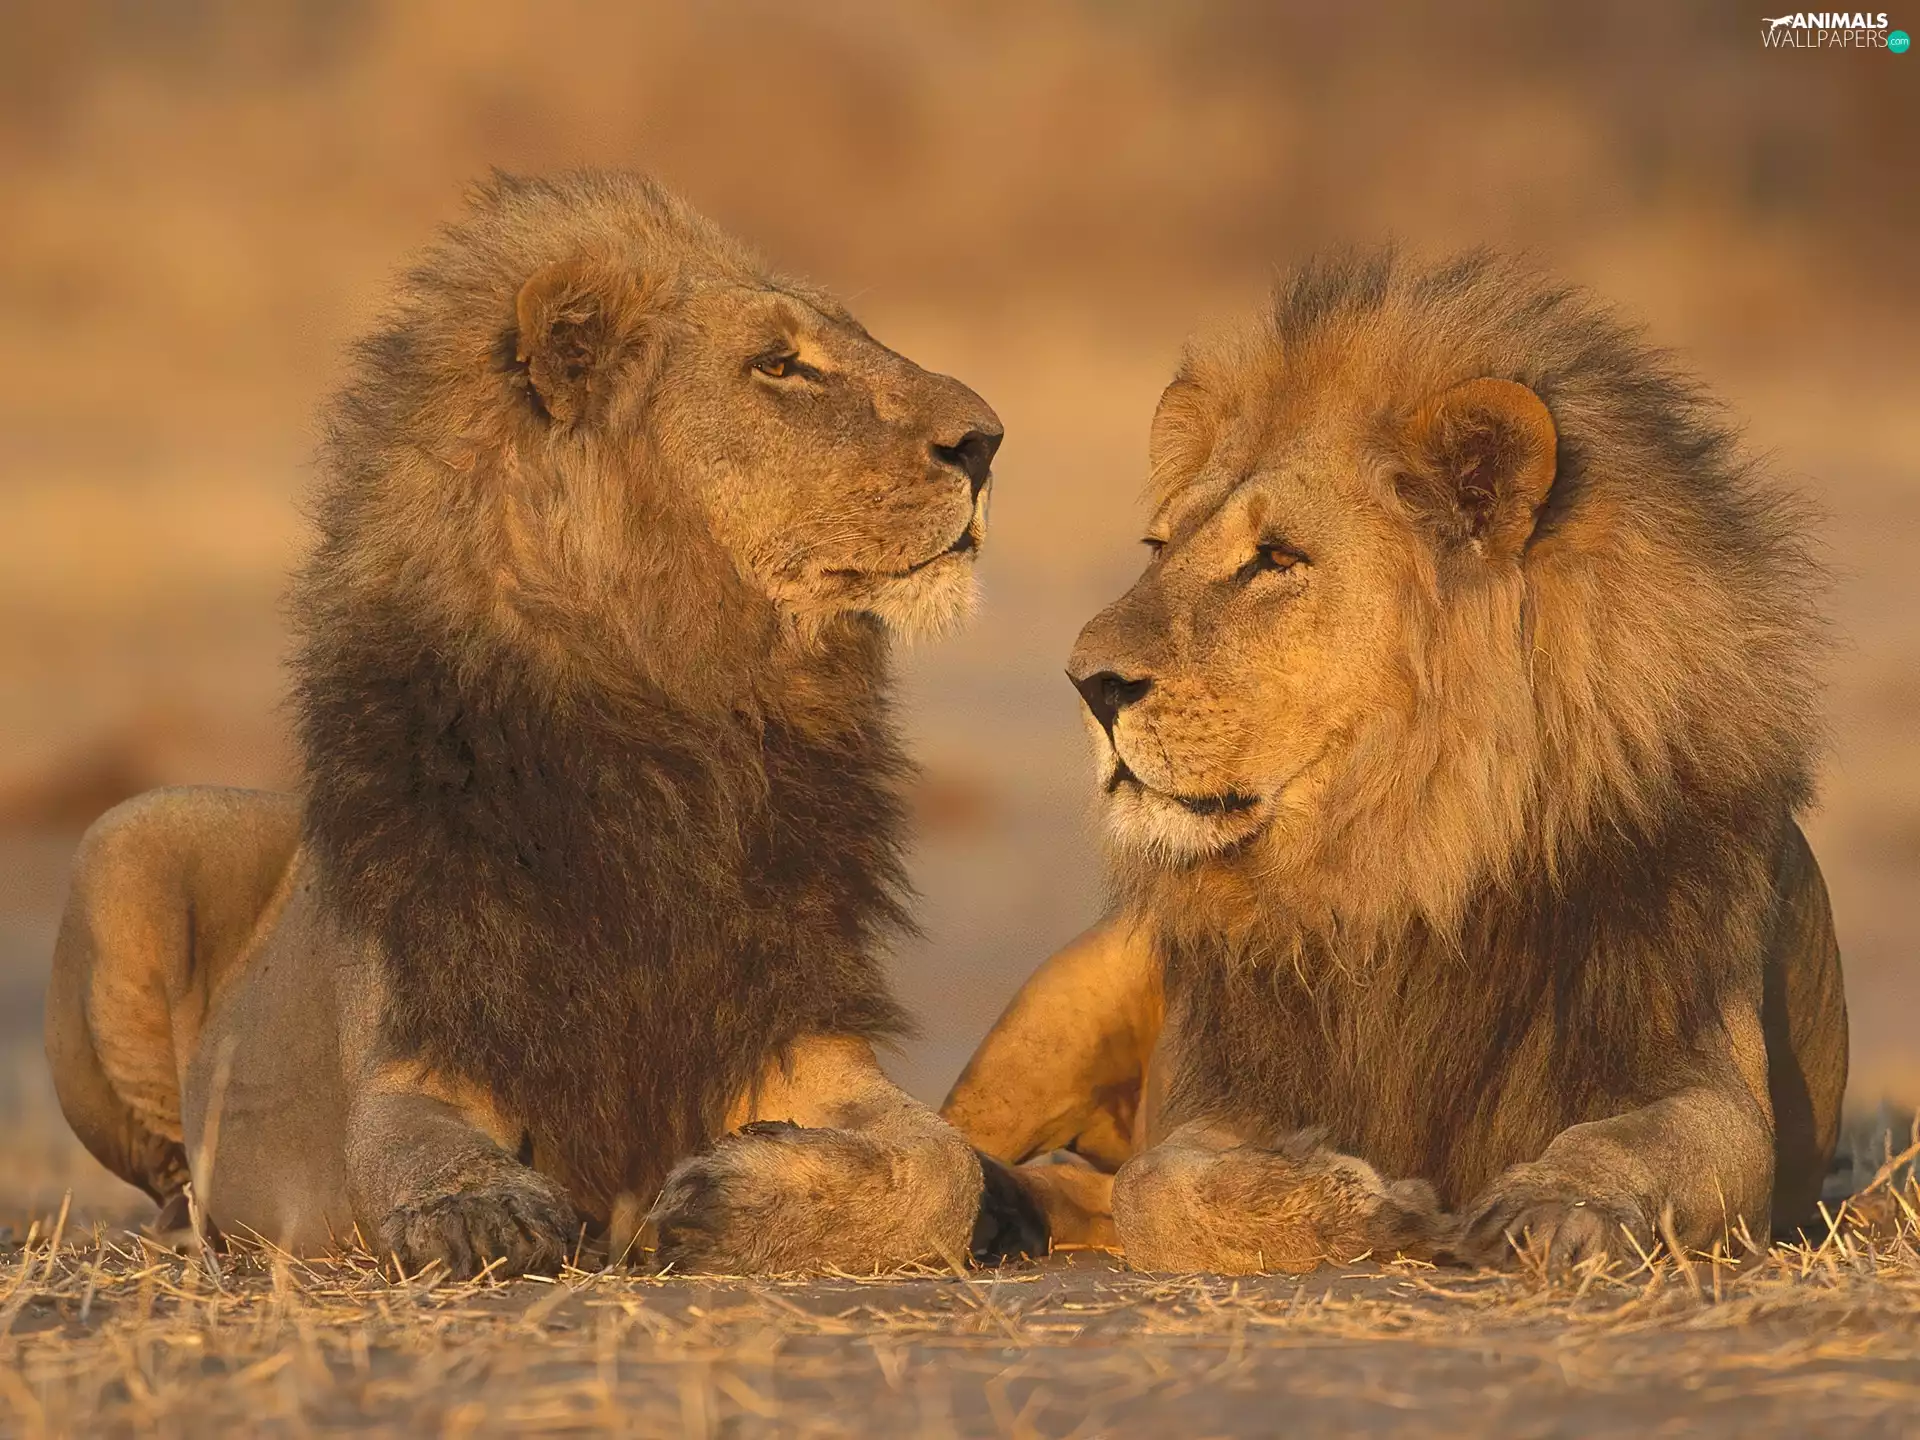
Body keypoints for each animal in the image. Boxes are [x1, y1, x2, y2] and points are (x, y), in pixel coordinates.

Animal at [45, 170, 1008, 1277]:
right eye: (779, 365)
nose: (988, 442)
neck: (684, 723)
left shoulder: (800, 1040)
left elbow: (947, 1167)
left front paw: (724, 1197)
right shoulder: (420, 1048)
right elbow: (412, 1151)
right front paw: (482, 1214)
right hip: (130, 832)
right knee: (167, 1165)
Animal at [945, 249, 1847, 1273]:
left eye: (1276, 559)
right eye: (1159, 547)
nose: (1086, 683)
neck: (1401, 859)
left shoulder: (1704, 1076)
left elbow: (1627, 1147)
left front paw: (1550, 1207)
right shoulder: (1216, 1094)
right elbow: (1158, 1185)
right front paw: (1370, 1205)